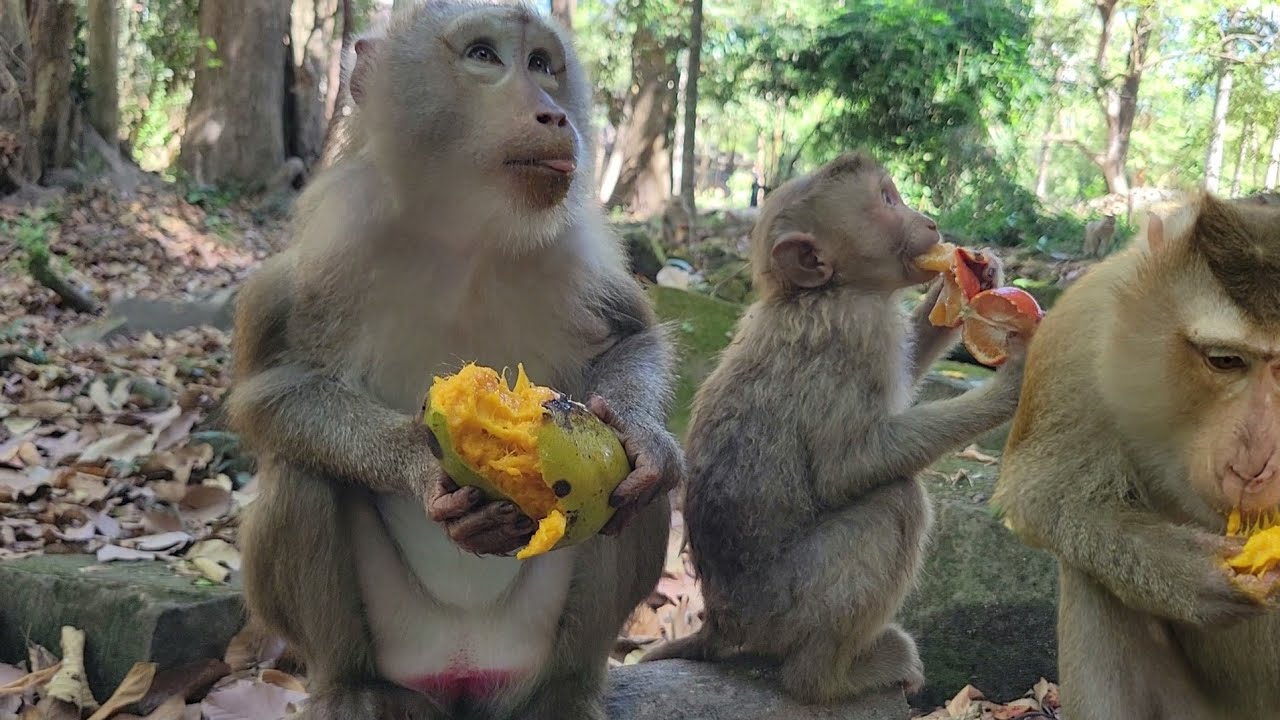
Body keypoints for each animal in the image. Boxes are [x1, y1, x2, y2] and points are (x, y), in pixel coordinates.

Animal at [224, 3, 684, 719]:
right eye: (483, 55)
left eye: (543, 63)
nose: (555, 114)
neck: (467, 234)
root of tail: (465, 678)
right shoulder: (334, 245)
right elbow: (275, 389)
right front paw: (419, 462)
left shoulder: (578, 251)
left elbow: (630, 341)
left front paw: (639, 431)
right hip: (402, 644)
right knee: (300, 475)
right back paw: (349, 686)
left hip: (527, 648)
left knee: (640, 496)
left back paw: (568, 690)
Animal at [639, 151, 1030, 705]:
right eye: (887, 200)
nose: (930, 223)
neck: (818, 294)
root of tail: (718, 620)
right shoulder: (859, 328)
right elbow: (846, 467)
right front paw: (1010, 386)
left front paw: (969, 275)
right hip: (785, 606)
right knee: (895, 502)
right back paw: (827, 679)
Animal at [990, 192, 1280, 720]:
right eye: (1224, 361)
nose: (1252, 465)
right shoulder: (1084, 326)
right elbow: (1043, 494)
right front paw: (1193, 573)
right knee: (1093, 577)